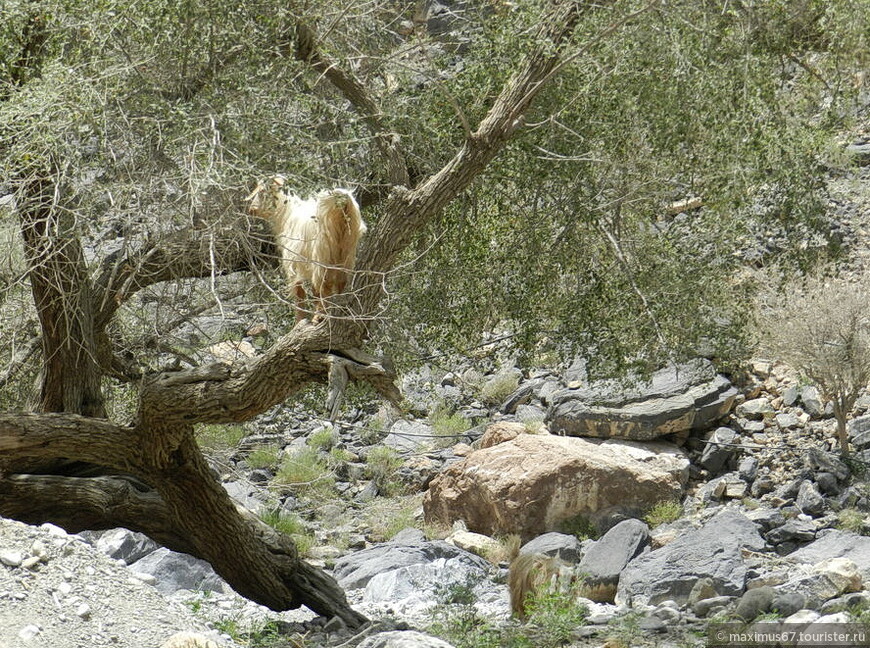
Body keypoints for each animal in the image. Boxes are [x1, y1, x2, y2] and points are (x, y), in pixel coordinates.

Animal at [247, 176, 366, 320]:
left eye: (262, 191)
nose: (251, 209)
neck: (286, 214)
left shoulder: (293, 263)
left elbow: (300, 293)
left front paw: (299, 319)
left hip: (321, 255)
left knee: (324, 285)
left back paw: (318, 317)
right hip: (347, 253)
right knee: (340, 283)